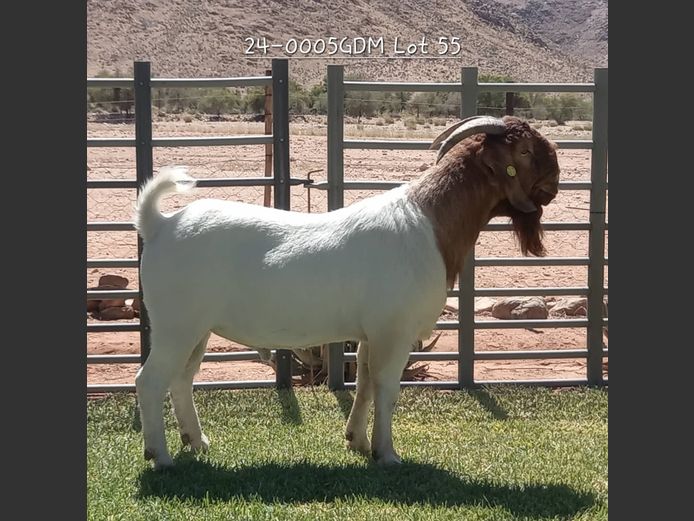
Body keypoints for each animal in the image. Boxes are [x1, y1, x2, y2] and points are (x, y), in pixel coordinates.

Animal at [134, 115, 560, 469]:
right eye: (524, 151)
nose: (555, 183)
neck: (430, 225)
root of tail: (160, 224)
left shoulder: (371, 334)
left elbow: (366, 384)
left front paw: (357, 441)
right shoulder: (395, 331)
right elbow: (387, 388)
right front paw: (387, 454)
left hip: (197, 329)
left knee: (181, 379)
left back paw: (196, 442)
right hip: (176, 324)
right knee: (150, 381)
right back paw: (160, 456)